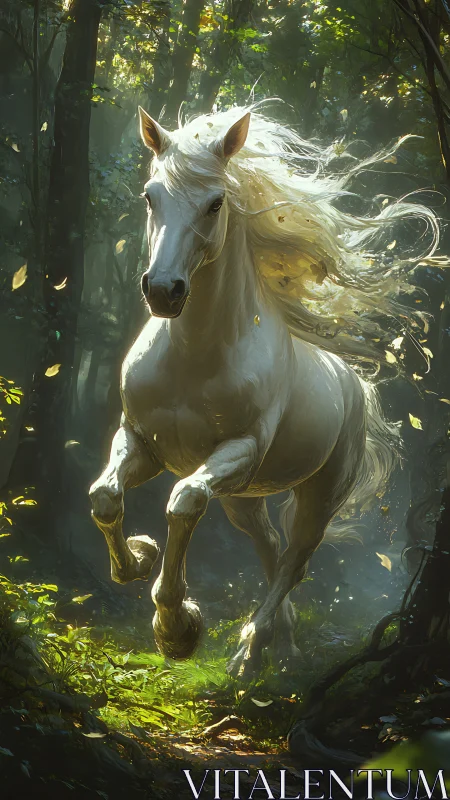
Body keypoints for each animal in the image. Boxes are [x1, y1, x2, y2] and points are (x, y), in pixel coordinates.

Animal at [89, 102, 444, 676]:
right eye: (150, 195)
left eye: (215, 203)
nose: (163, 291)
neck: (194, 358)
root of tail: (356, 387)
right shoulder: (142, 442)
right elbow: (104, 496)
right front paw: (139, 558)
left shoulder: (238, 451)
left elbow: (183, 503)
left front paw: (177, 628)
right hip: (243, 499)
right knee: (270, 547)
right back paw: (277, 640)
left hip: (317, 494)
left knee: (293, 561)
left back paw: (250, 649)